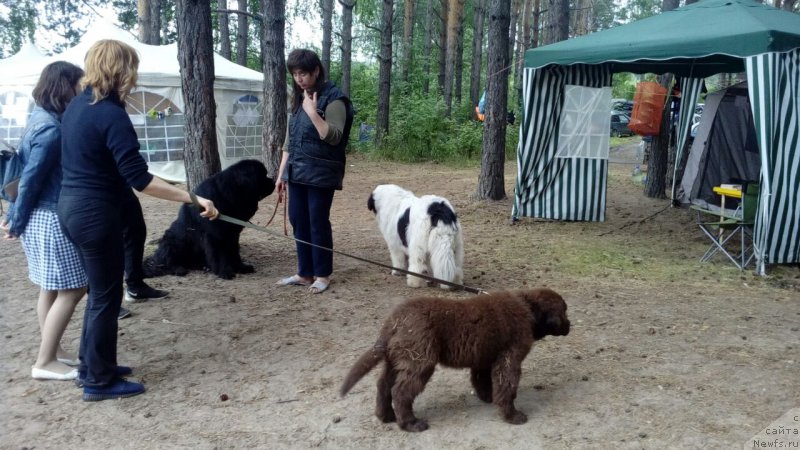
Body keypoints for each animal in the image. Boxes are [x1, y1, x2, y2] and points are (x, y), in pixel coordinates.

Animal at [145, 158, 276, 278]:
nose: (274, 180)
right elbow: (219, 254)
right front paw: (225, 272)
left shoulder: (233, 233)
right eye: (263, 176)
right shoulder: (214, 234)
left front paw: (240, 267)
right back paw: (179, 269)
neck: (230, 192)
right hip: (173, 242)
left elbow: (234, 251)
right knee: (166, 262)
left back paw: (204, 267)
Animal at [338, 288, 568, 432]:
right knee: (400, 391)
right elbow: (507, 388)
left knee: (384, 385)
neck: (528, 307)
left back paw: (386, 416)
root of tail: (394, 320)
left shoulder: (484, 358)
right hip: (419, 360)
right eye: (564, 311)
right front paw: (512, 415)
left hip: (396, 359)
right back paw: (411, 424)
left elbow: (482, 380)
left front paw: (488, 398)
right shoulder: (510, 359)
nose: (569, 325)